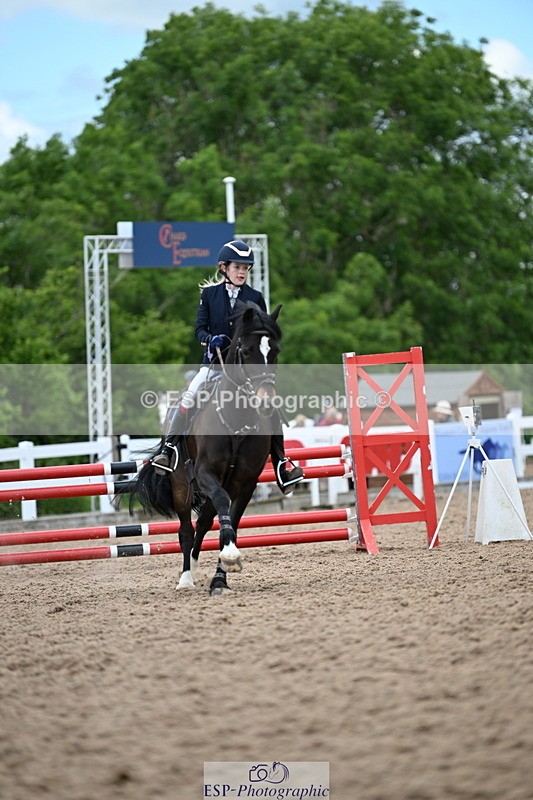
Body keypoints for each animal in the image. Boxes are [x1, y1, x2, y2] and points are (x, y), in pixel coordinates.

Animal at [131, 301, 282, 596]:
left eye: (275, 351)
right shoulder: (205, 474)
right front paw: (230, 555)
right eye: (247, 351)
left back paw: (195, 565)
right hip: (181, 486)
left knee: (202, 523)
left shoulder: (245, 483)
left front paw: (221, 576)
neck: (236, 420)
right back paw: (185, 578)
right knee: (186, 530)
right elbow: (221, 509)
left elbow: (230, 521)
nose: (266, 403)